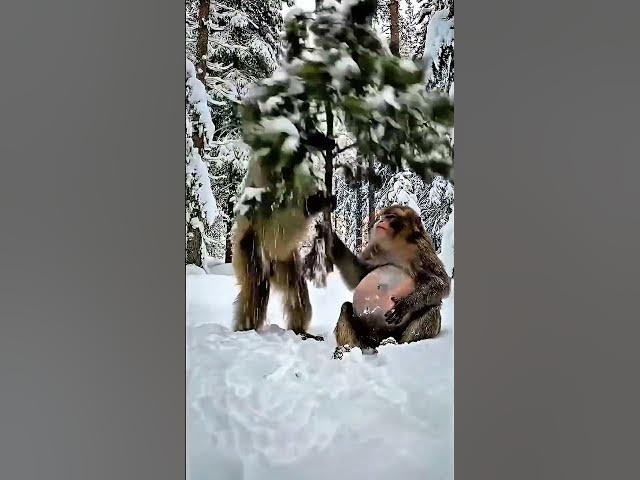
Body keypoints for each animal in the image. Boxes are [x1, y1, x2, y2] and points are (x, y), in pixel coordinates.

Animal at [327, 205, 450, 357]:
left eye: (391, 216)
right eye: (383, 216)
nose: (380, 220)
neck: (396, 243)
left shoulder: (422, 249)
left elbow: (442, 282)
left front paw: (405, 304)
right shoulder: (374, 249)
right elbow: (357, 276)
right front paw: (331, 236)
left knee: (432, 309)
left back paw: (396, 344)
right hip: (366, 333)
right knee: (346, 307)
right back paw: (351, 348)